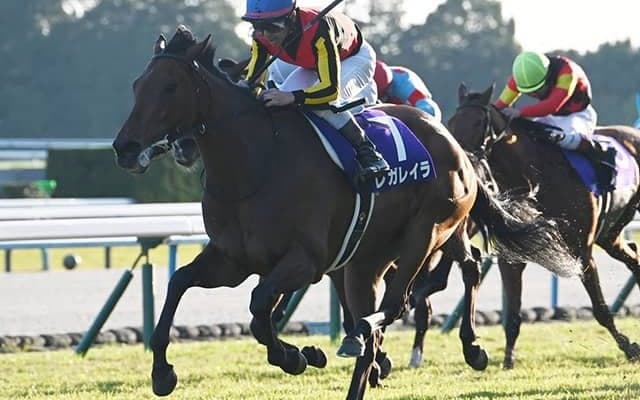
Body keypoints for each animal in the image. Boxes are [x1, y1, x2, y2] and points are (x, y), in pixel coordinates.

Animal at [112, 26, 581, 399]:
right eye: (136, 85)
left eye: (170, 87)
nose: (125, 148)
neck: (257, 163)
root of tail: (455, 146)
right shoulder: (233, 259)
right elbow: (180, 282)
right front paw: (162, 374)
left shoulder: (306, 260)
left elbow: (261, 305)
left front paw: (298, 356)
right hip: (367, 260)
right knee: (386, 304)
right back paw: (367, 352)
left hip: (430, 231)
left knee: (410, 295)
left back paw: (421, 342)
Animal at [448, 82, 640, 369]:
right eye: (450, 122)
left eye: (478, 122)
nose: (460, 162)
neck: (535, 175)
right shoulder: (511, 258)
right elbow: (512, 314)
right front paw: (508, 361)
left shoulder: (582, 252)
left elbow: (601, 310)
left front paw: (629, 347)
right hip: (611, 233)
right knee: (632, 254)